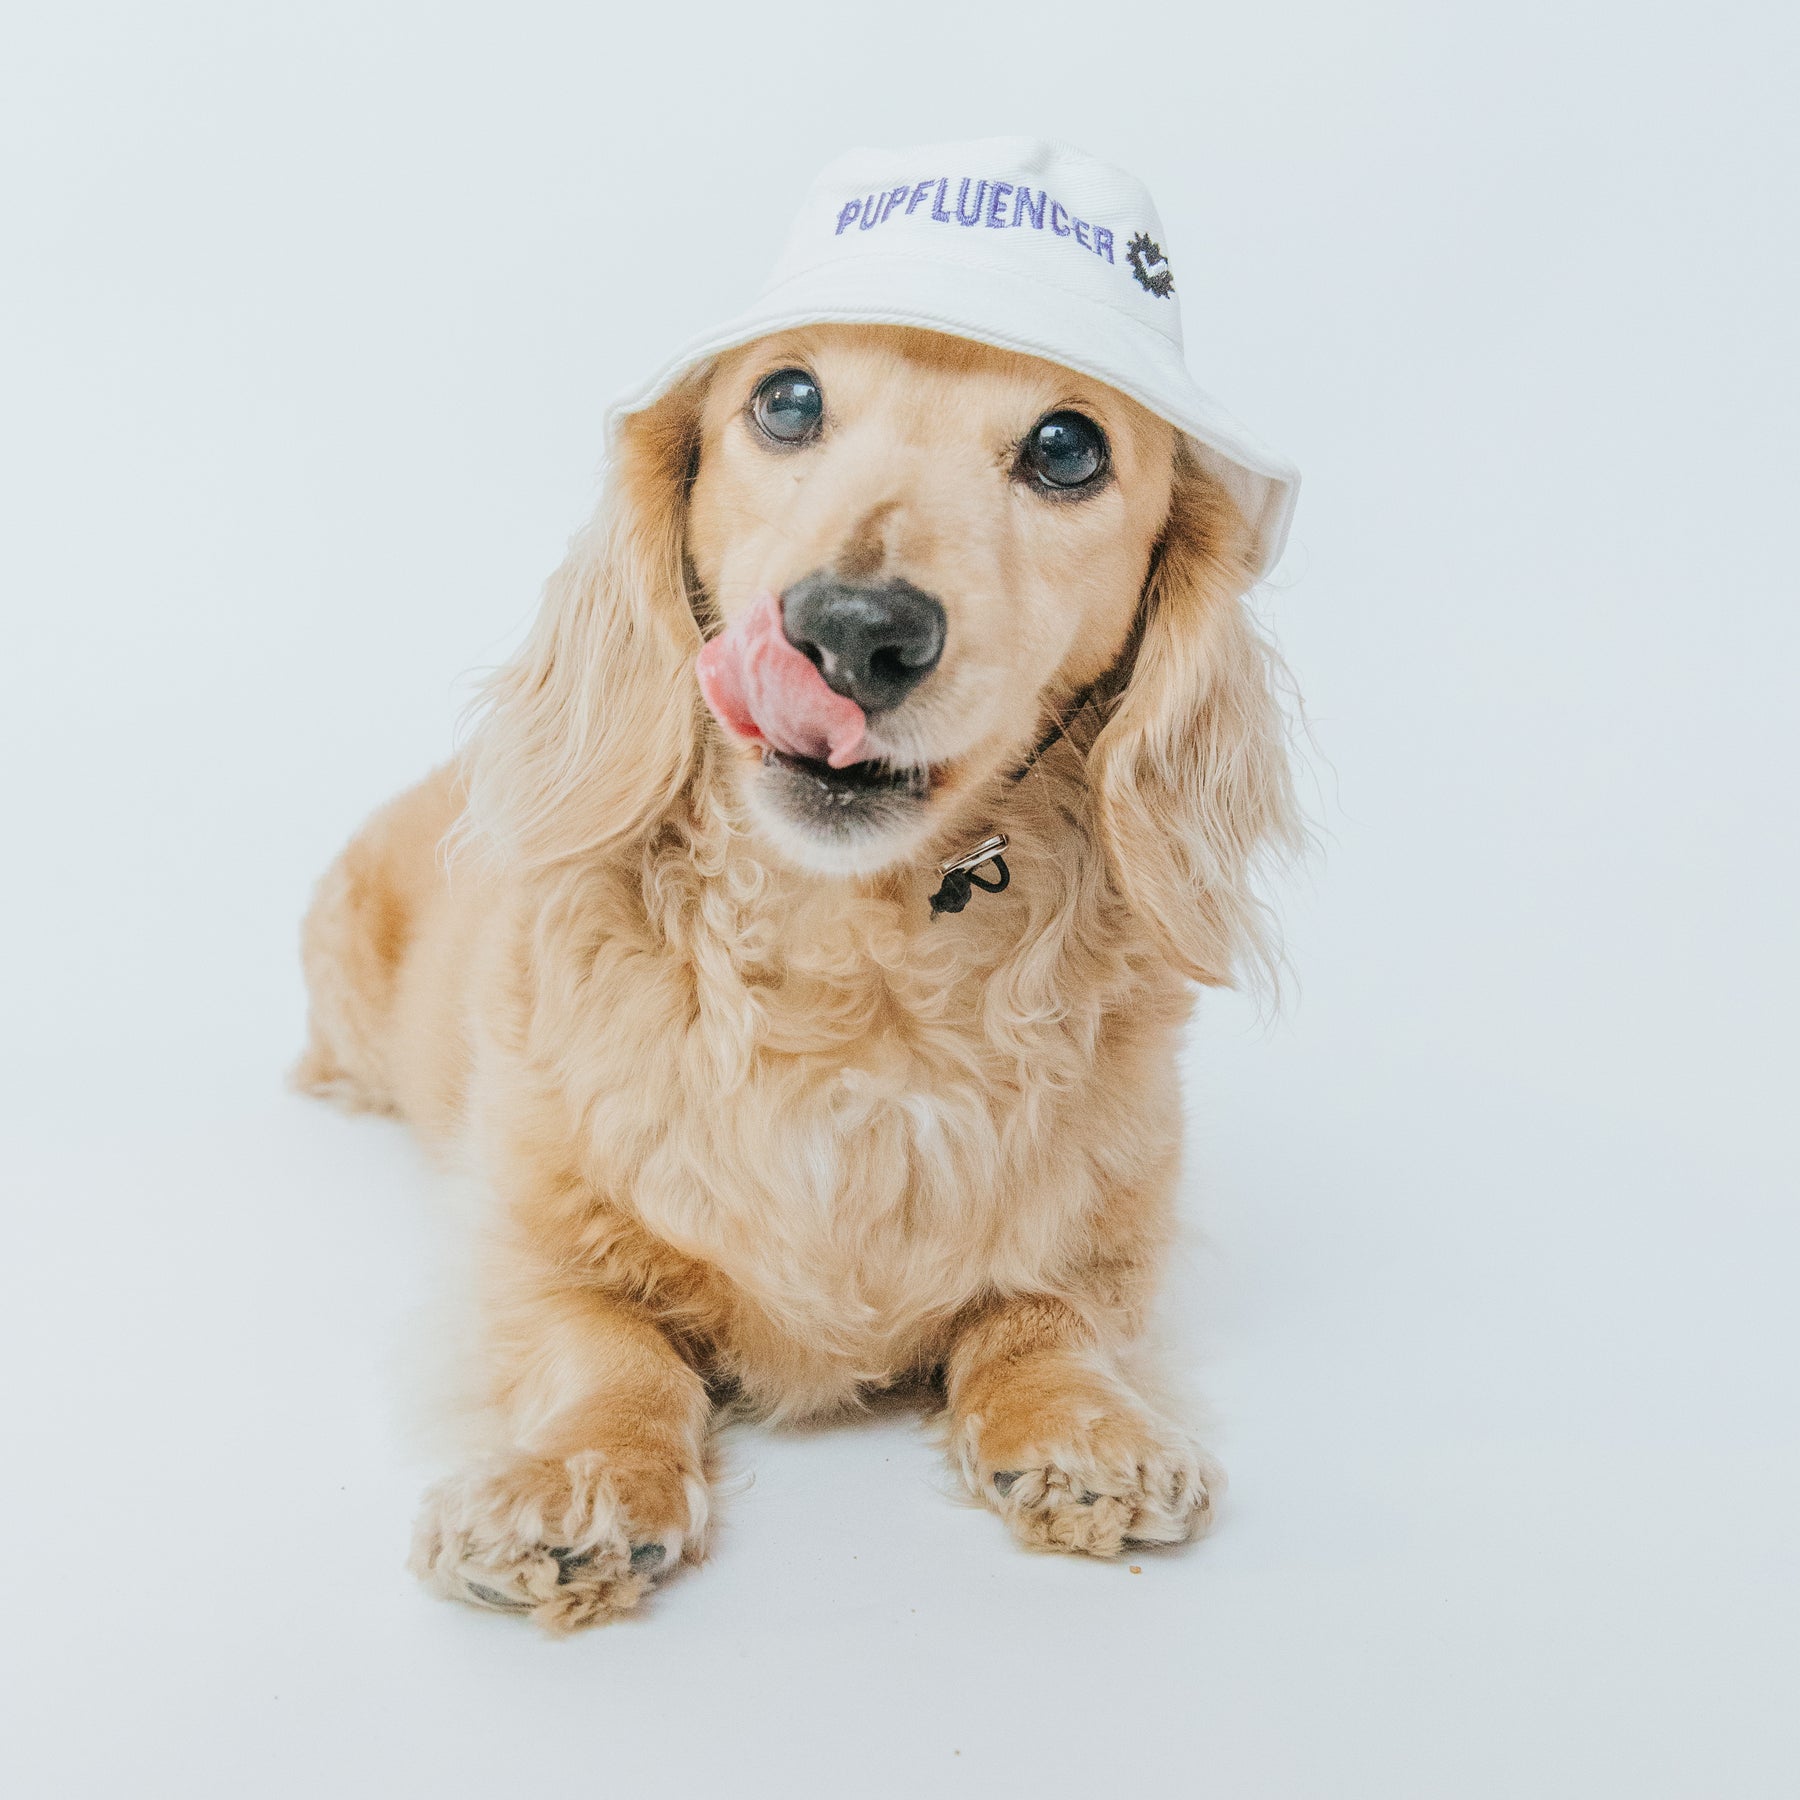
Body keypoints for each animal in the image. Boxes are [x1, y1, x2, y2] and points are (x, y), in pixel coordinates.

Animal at [302, 324, 1303, 1634]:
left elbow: (1046, 1319)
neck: (857, 972)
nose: (854, 631)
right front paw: (581, 1480)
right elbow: (605, 1349)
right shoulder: (527, 1246)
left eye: (1067, 447)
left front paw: (1085, 1431)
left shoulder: (1108, 1245)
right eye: (785, 399)